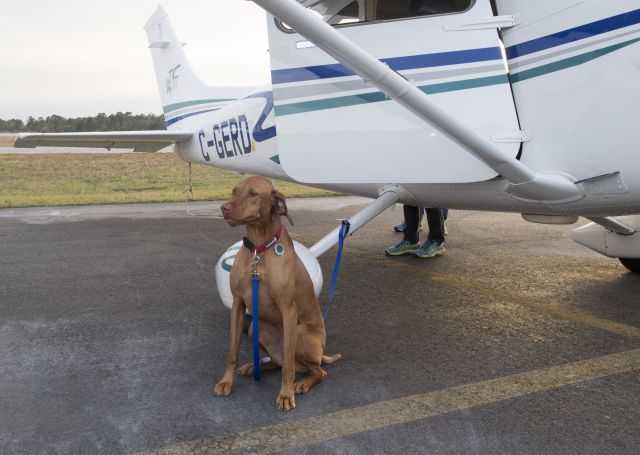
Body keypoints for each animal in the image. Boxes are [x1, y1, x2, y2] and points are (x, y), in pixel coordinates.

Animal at [215, 176, 340, 412]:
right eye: (235, 191)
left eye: (254, 194)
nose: (224, 208)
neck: (258, 250)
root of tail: (321, 354)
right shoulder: (238, 304)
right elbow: (231, 351)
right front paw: (226, 382)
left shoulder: (288, 309)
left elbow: (288, 367)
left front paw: (285, 395)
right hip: (255, 328)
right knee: (278, 362)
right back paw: (253, 366)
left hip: (300, 335)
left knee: (315, 370)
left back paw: (302, 383)